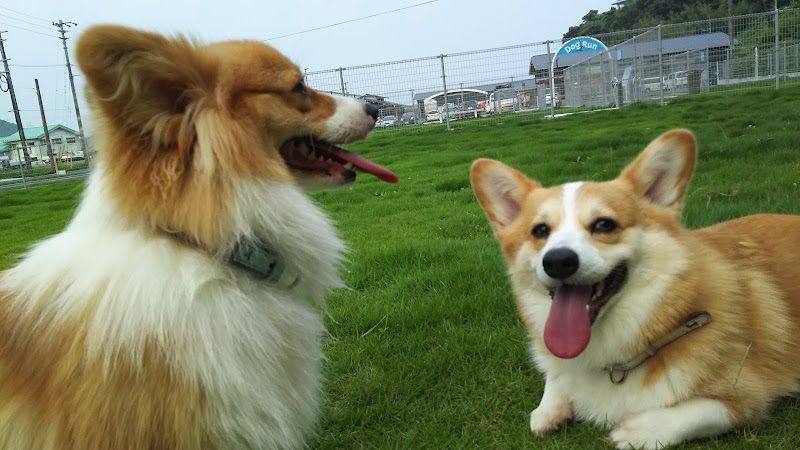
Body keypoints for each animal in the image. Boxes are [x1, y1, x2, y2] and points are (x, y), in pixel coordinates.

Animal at [472, 128, 800, 448]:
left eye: (604, 225)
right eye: (540, 231)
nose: (558, 261)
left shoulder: (746, 395)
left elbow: (702, 411)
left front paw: (641, 430)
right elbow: (554, 378)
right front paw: (548, 409)